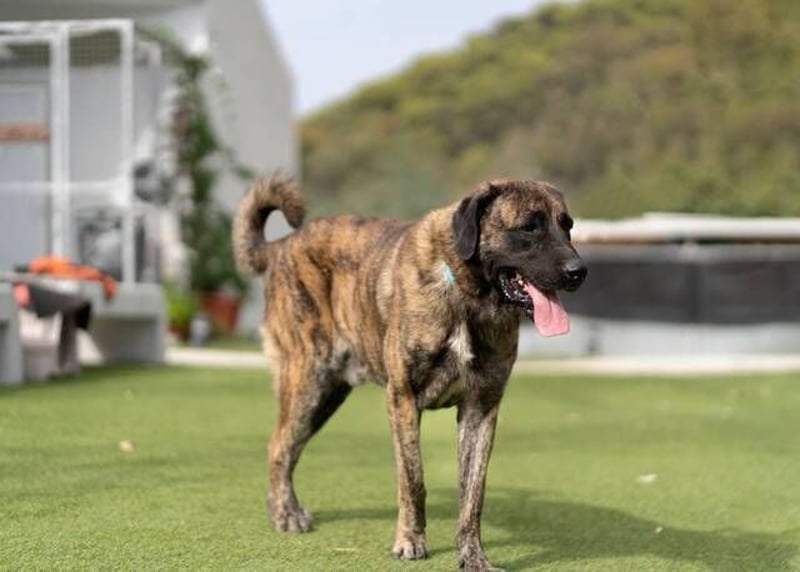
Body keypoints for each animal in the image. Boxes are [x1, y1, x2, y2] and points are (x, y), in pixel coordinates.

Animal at [232, 174, 587, 571]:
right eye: (529, 227)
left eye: (567, 226)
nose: (578, 272)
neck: (467, 297)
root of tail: (281, 245)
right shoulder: (403, 399)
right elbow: (413, 480)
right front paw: (410, 541)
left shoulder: (481, 409)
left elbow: (473, 492)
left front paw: (473, 555)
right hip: (307, 382)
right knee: (279, 445)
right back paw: (286, 514)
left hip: (325, 397)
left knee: (289, 447)